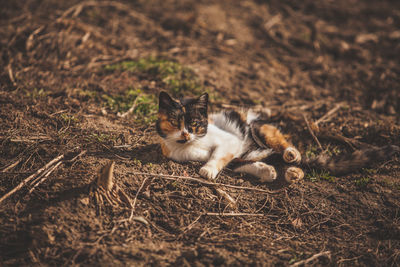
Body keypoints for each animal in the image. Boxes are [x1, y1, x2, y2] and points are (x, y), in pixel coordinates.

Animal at [156, 91, 400, 183]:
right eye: (175, 122)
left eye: (194, 124)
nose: (186, 133)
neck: (187, 145)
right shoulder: (235, 155)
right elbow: (239, 164)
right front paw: (266, 172)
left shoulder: (230, 142)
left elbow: (218, 157)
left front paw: (207, 169)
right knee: (277, 160)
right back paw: (290, 172)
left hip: (261, 130)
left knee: (287, 150)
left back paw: (292, 157)